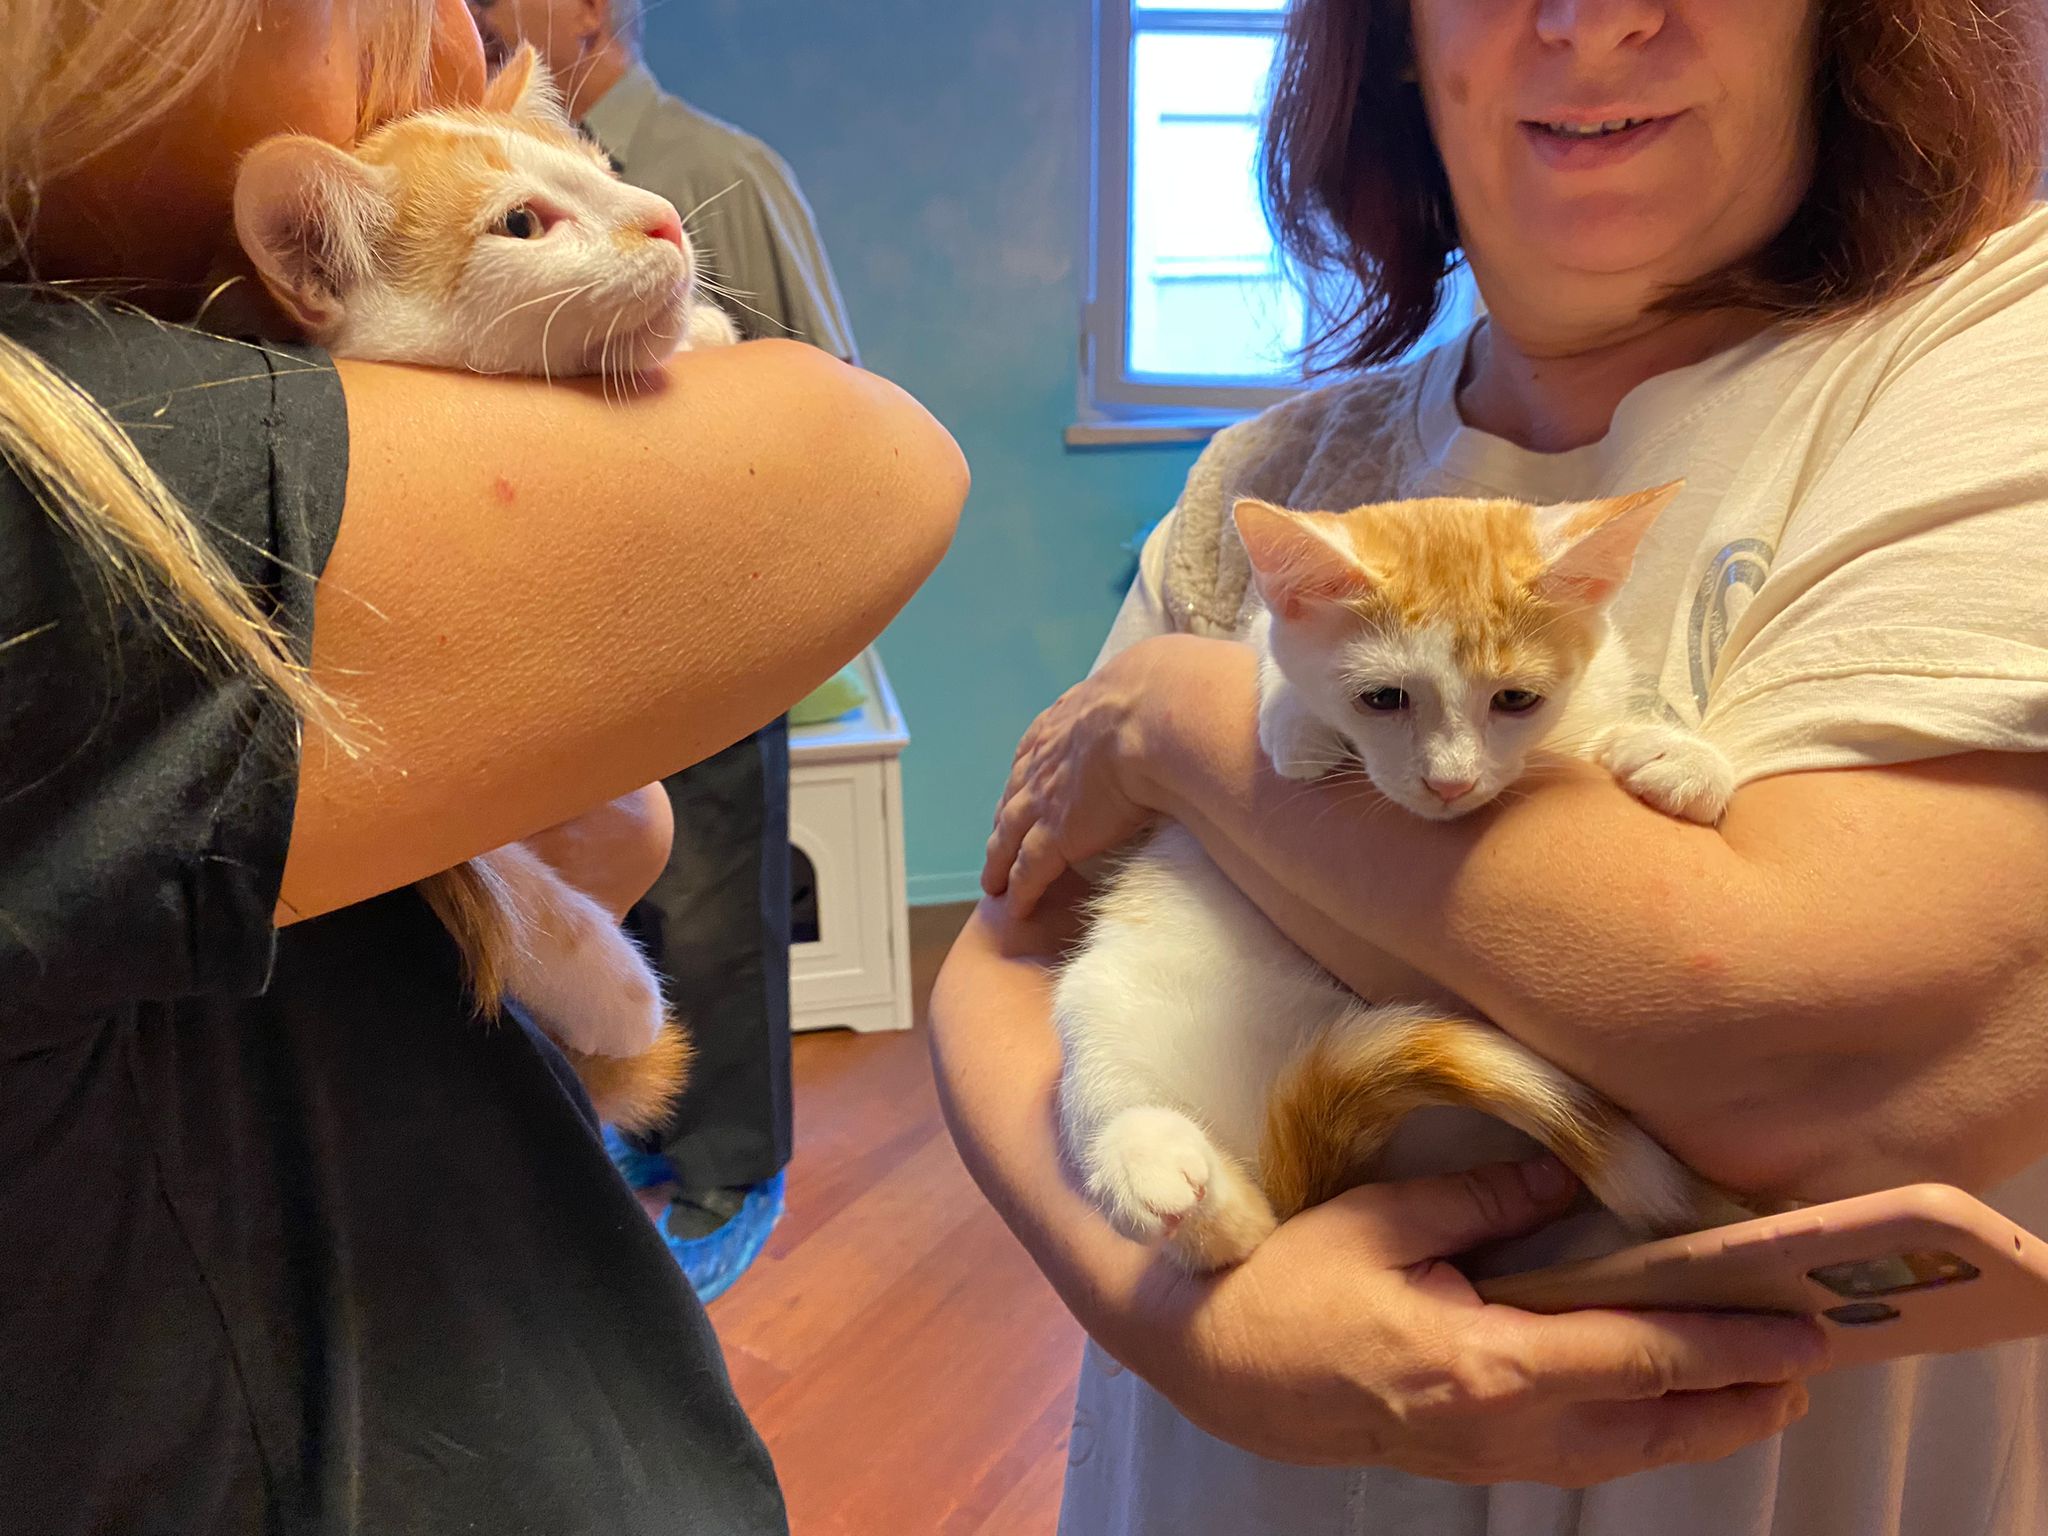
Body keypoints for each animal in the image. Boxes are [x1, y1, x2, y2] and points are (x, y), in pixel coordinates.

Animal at [228, 45, 735, 1128]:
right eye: (523, 224)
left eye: (604, 166)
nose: (665, 220)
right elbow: (486, 875)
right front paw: (610, 985)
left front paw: (706, 331)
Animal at [1054, 484, 1757, 1273]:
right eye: (1382, 699)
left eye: (1516, 700)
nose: (1450, 781)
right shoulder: (1263, 633)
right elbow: (1266, 650)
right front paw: (1294, 722)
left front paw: (1679, 753)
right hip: (1103, 1014)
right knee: (1235, 1223)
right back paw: (1154, 1162)